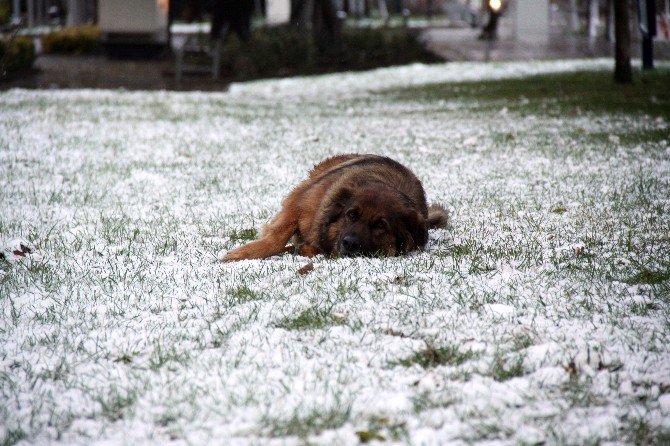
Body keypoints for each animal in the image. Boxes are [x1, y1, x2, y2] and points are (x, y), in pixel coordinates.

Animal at [223, 155, 448, 264]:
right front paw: (243, 253)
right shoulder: (299, 203)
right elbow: (277, 237)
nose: (350, 243)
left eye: (380, 225)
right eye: (351, 215)